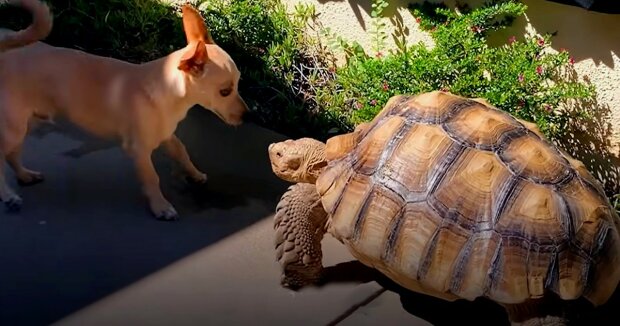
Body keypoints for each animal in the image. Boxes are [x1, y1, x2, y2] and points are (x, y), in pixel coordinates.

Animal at [0, 1, 247, 220]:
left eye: (239, 83)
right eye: (225, 92)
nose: (247, 114)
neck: (166, 88)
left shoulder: (167, 135)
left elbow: (182, 152)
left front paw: (194, 174)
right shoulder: (139, 150)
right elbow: (152, 178)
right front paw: (160, 206)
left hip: (25, 124)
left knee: (12, 154)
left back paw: (25, 175)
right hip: (14, 128)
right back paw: (9, 195)